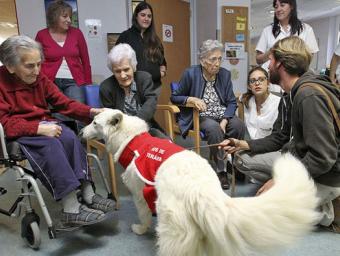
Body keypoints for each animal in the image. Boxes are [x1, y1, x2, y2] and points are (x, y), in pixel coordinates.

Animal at [83, 109, 322, 256]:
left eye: (94, 122)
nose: (81, 131)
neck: (133, 140)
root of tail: (201, 190)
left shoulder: (139, 193)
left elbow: (143, 215)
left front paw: (140, 229)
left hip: (174, 229)